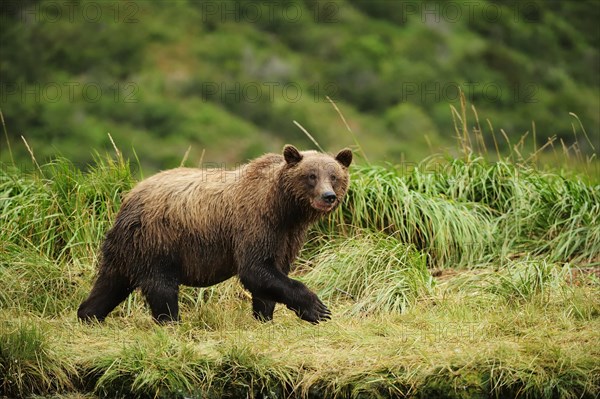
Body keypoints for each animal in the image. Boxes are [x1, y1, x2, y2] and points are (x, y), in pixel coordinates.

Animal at [78, 146, 352, 324]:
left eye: (334, 176)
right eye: (311, 176)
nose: (328, 196)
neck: (284, 208)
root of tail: (127, 199)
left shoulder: (286, 236)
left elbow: (273, 274)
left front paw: (264, 315)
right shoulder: (255, 224)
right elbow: (256, 269)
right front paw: (318, 309)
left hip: (126, 248)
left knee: (110, 283)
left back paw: (88, 314)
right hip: (157, 240)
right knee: (161, 286)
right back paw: (171, 322)